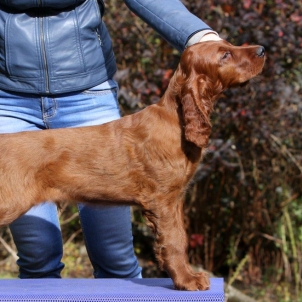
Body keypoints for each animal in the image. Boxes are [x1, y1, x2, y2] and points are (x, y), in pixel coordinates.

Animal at [0, 40, 264, 290]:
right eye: (225, 55)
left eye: (229, 44)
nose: (262, 50)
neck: (176, 120)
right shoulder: (162, 201)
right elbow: (174, 242)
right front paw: (187, 281)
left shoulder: (175, 199)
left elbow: (181, 237)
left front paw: (187, 276)